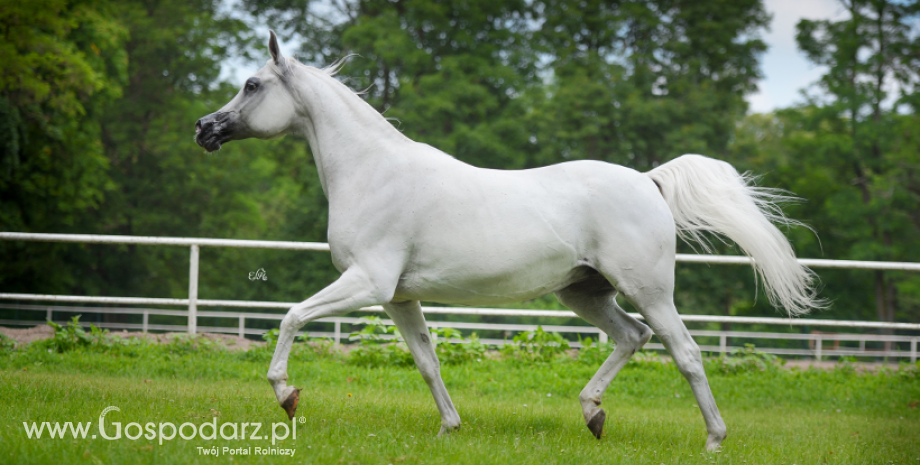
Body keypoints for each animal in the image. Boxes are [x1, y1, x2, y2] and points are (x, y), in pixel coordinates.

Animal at [194, 31, 820, 450]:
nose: (204, 129)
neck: (373, 172)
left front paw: (287, 395)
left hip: (647, 291)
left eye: (251, 84)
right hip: (584, 292)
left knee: (684, 352)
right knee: (633, 337)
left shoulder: (366, 283)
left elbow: (292, 317)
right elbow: (427, 361)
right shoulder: (399, 297)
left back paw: (713, 439)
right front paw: (449, 428)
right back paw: (593, 414)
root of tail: (648, 181)